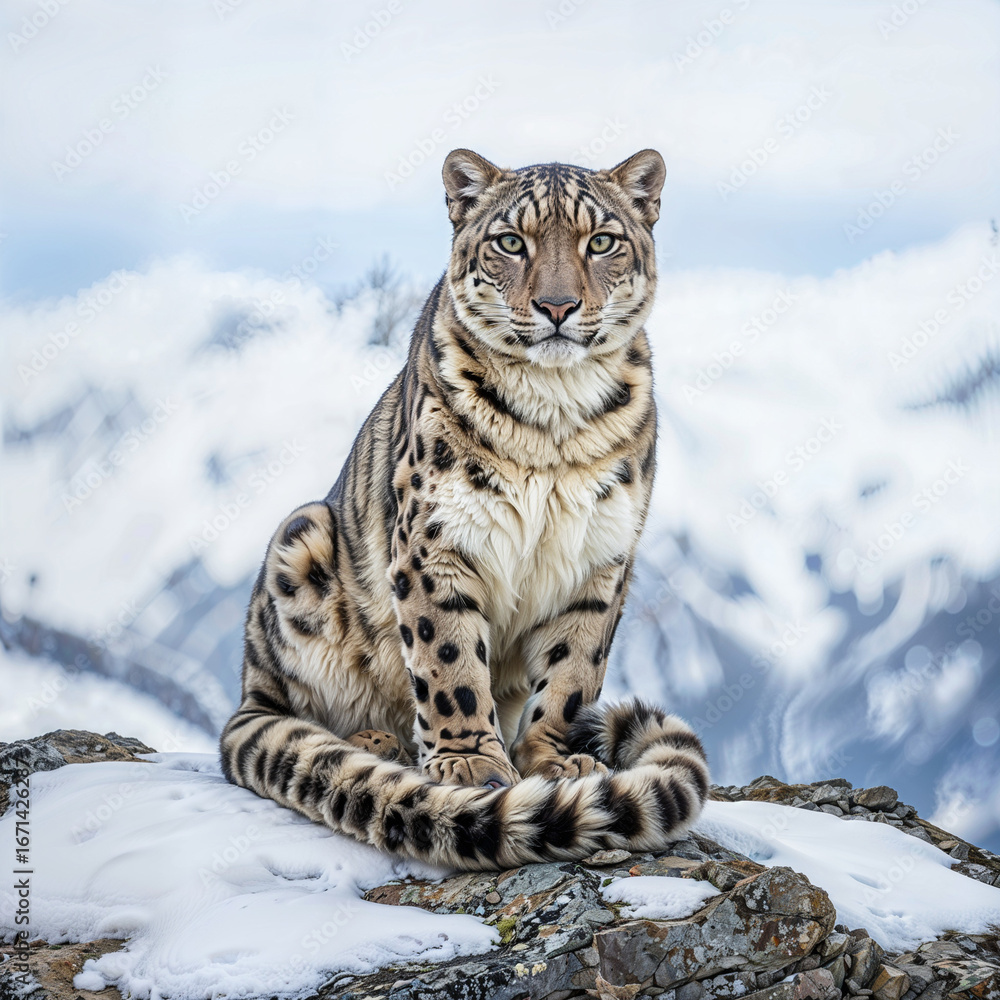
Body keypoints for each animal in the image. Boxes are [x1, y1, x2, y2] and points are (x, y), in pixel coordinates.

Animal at [219, 147, 709, 870]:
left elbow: (573, 670)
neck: (554, 418)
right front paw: (471, 764)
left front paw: (555, 761)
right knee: (304, 709)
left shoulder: (602, 557)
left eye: (601, 241)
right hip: (300, 537)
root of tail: (248, 685)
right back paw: (375, 742)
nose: (557, 305)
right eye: (511, 241)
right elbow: (448, 657)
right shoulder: (438, 541)